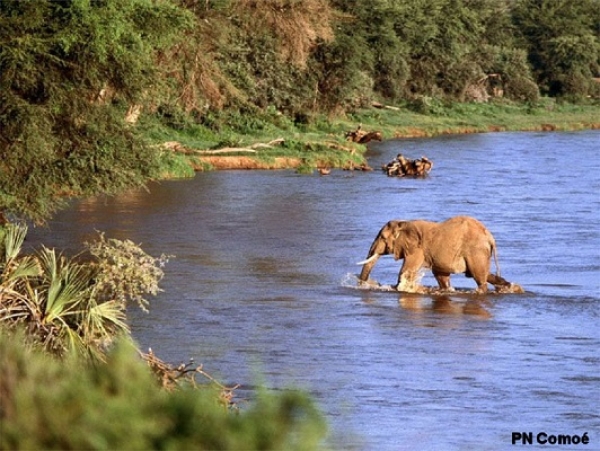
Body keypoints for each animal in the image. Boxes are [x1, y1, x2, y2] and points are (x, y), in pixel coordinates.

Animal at [358, 216, 512, 294]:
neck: (404, 222)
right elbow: (441, 275)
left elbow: (406, 271)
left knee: (479, 277)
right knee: (484, 274)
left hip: (476, 251)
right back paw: (508, 286)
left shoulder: (417, 249)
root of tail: (490, 237)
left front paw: (398, 289)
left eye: (383, 237)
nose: (365, 285)